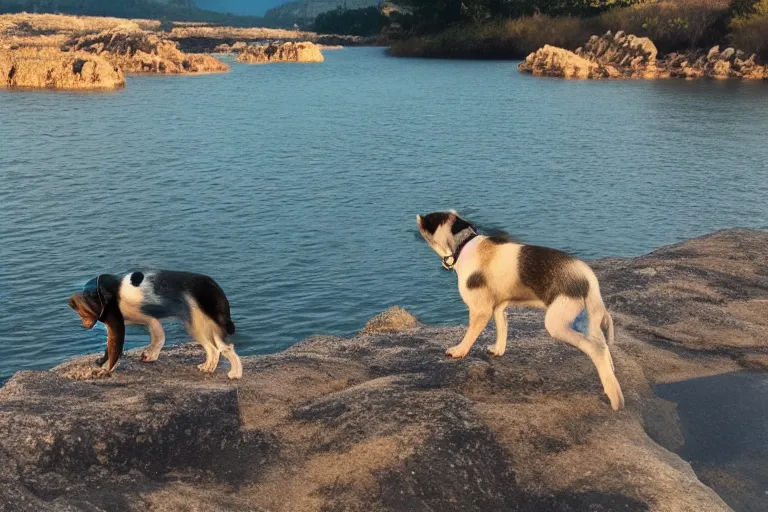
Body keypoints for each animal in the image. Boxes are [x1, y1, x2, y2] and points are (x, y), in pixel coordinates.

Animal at [70, 270, 243, 378]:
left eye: (82, 312)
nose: (83, 324)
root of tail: (213, 286)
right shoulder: (149, 320)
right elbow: (157, 338)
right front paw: (150, 355)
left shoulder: (117, 326)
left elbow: (114, 352)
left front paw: (106, 370)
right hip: (200, 326)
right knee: (214, 349)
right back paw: (208, 367)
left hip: (201, 324)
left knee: (224, 348)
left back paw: (235, 374)